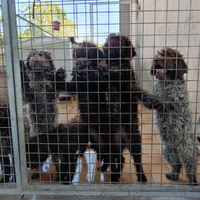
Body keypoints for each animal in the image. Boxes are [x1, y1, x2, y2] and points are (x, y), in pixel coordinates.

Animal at [136, 47, 198, 185]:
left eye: (169, 56)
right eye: (158, 55)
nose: (156, 60)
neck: (166, 82)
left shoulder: (168, 102)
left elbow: (153, 98)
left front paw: (133, 87)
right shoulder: (154, 100)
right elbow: (148, 98)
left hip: (187, 151)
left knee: (190, 167)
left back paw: (193, 181)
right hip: (167, 151)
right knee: (177, 164)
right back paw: (173, 175)